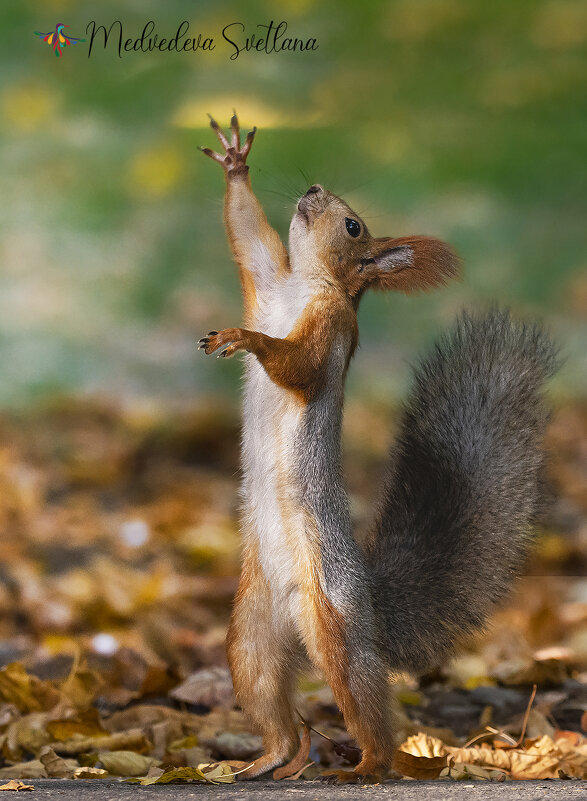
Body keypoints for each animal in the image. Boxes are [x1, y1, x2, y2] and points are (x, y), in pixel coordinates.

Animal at [196, 112, 556, 780]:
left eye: (353, 226)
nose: (313, 190)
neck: (303, 285)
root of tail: (362, 598)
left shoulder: (332, 330)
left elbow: (302, 366)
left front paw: (247, 339)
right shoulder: (267, 278)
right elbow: (248, 238)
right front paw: (235, 163)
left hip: (333, 619)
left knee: (364, 700)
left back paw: (367, 763)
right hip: (250, 637)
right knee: (276, 708)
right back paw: (266, 761)